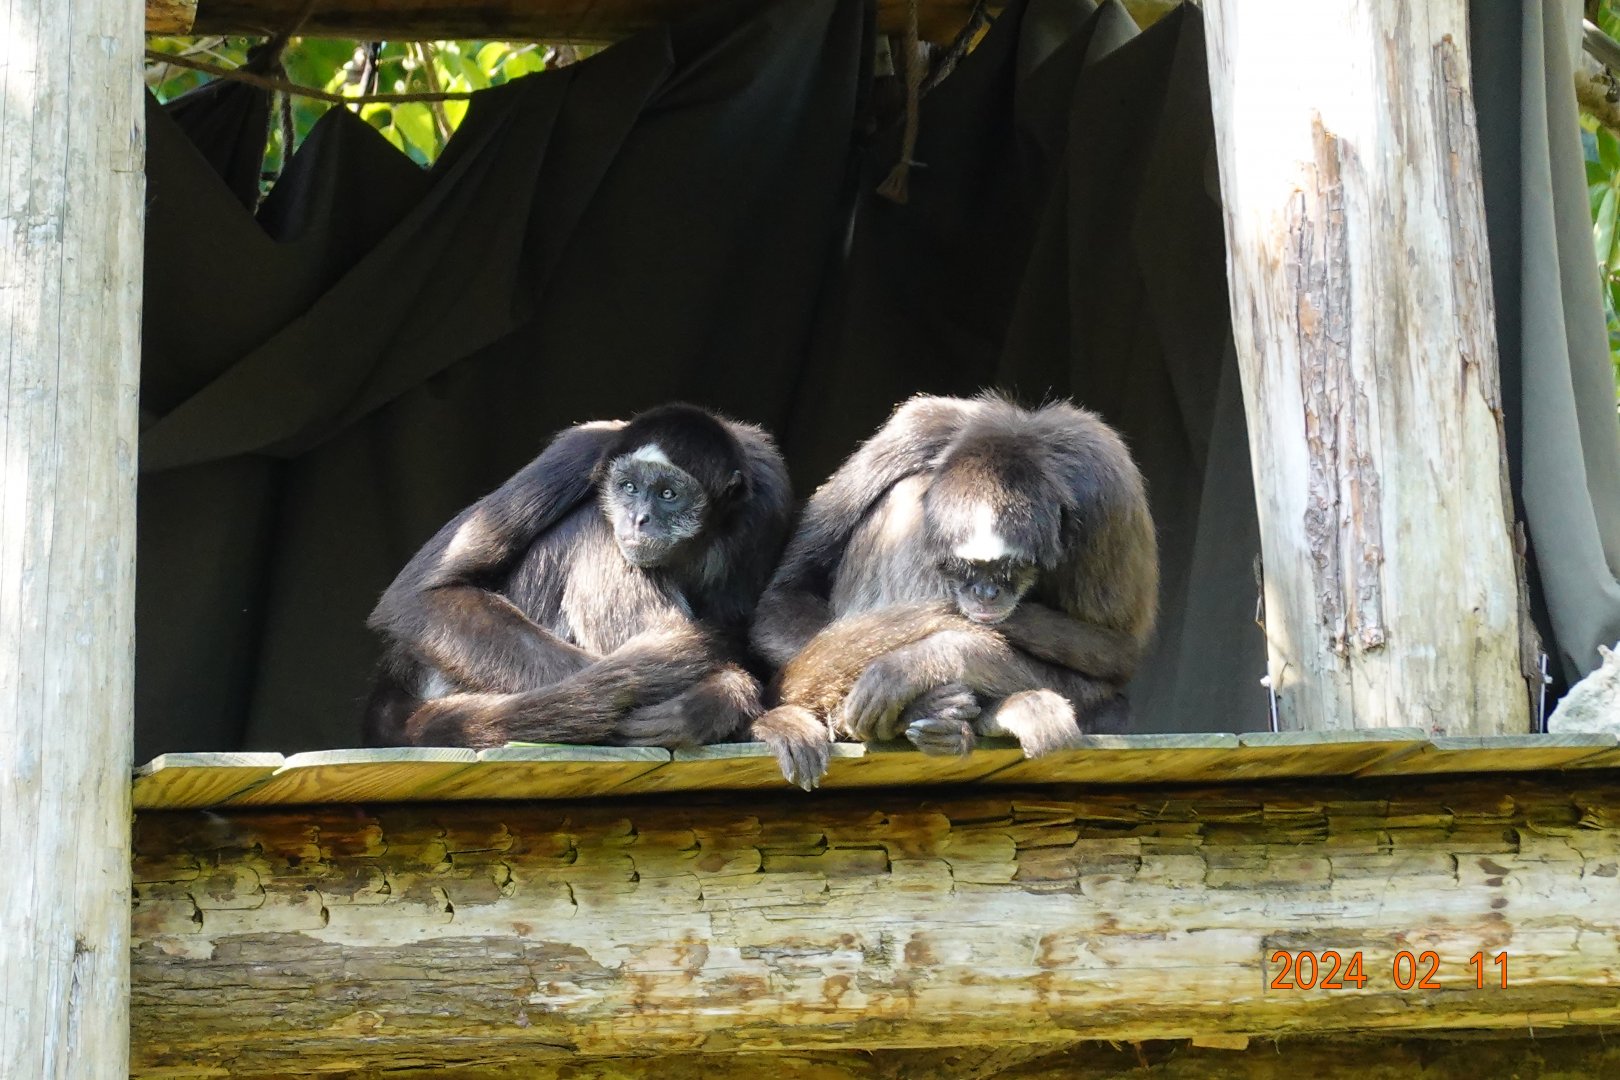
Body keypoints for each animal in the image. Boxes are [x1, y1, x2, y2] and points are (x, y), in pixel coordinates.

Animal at [362, 403, 793, 749]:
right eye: (628, 487)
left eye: (668, 494)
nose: (638, 519)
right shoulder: (582, 448)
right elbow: (417, 597)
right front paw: (715, 696)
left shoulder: (768, 490)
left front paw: (709, 706)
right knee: (591, 522)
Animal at [749, 394, 1157, 788]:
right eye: (965, 567)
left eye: (1011, 569)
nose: (986, 593)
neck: (1015, 434)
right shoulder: (917, 429)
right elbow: (783, 600)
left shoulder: (1105, 483)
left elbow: (1117, 658)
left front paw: (922, 661)